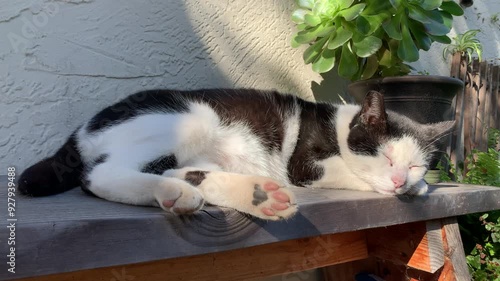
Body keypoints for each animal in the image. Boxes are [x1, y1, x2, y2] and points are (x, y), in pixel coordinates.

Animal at [17, 88, 456, 220]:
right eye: (385, 157)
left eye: (415, 163)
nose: (400, 179)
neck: (338, 123)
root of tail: (83, 128)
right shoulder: (305, 164)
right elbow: (350, 173)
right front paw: (411, 189)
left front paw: (418, 186)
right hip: (191, 118)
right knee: (99, 176)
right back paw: (172, 195)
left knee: (182, 171)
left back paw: (256, 196)